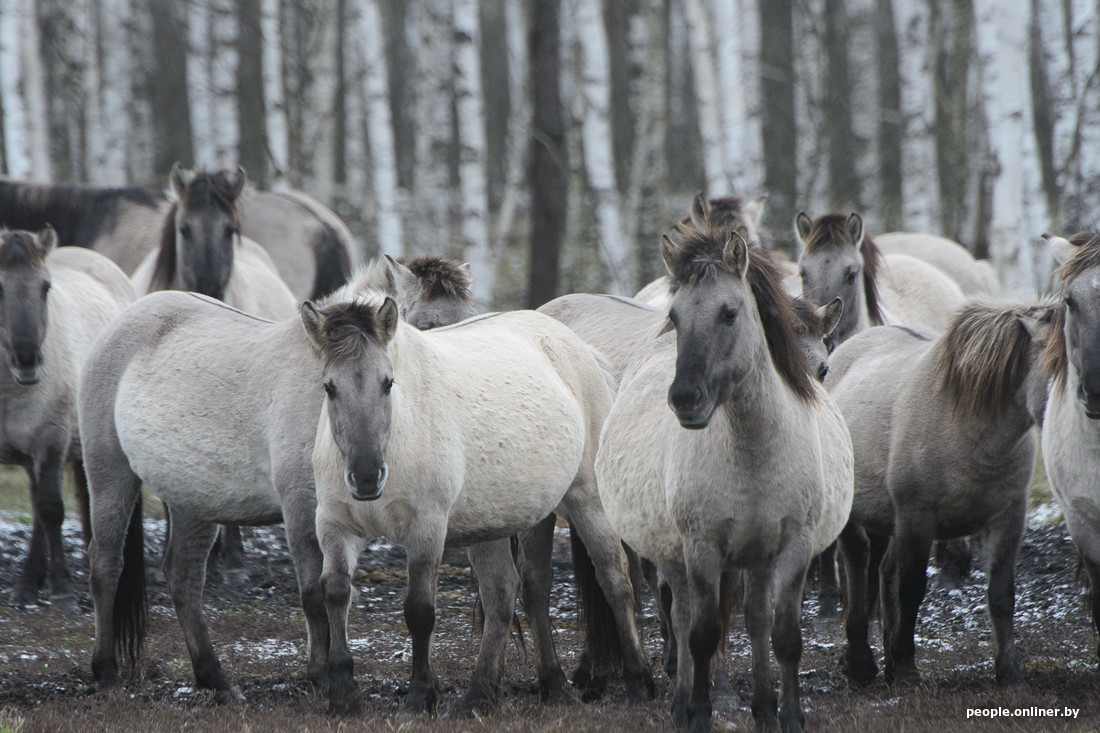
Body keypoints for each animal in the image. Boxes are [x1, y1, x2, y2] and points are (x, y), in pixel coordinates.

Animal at [0, 228, 133, 608]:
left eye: (45, 287)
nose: (27, 360)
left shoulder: (50, 443)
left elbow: (51, 510)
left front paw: (61, 587)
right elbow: (41, 511)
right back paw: (30, 580)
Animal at [79, 257, 473, 701]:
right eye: (429, 327)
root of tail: (124, 321)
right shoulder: (303, 511)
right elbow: (315, 593)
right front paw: (322, 674)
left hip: (192, 502)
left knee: (183, 577)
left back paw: (215, 679)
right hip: (110, 475)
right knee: (105, 566)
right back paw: (107, 673)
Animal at [307, 295, 654, 716]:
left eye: (387, 383)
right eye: (329, 387)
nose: (367, 476)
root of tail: (581, 349)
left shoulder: (427, 528)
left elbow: (419, 611)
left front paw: (420, 695)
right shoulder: (335, 525)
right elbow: (336, 591)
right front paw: (343, 693)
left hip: (588, 501)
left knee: (615, 580)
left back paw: (639, 680)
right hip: (505, 520)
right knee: (517, 590)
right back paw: (506, 690)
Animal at [595, 220, 853, 732]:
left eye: (729, 313)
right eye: (675, 317)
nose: (684, 399)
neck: (755, 451)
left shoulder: (793, 546)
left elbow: (784, 635)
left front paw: (786, 715)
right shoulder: (701, 548)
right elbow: (702, 634)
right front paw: (699, 714)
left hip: (756, 559)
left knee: (754, 621)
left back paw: (762, 706)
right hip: (674, 555)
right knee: (681, 620)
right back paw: (680, 705)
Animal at [825, 301, 1052, 686]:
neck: (970, 428)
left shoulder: (1009, 518)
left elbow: (1001, 593)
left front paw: (1008, 671)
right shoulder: (916, 517)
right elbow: (911, 588)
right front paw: (905, 668)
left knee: (882, 571)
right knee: (857, 565)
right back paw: (861, 663)